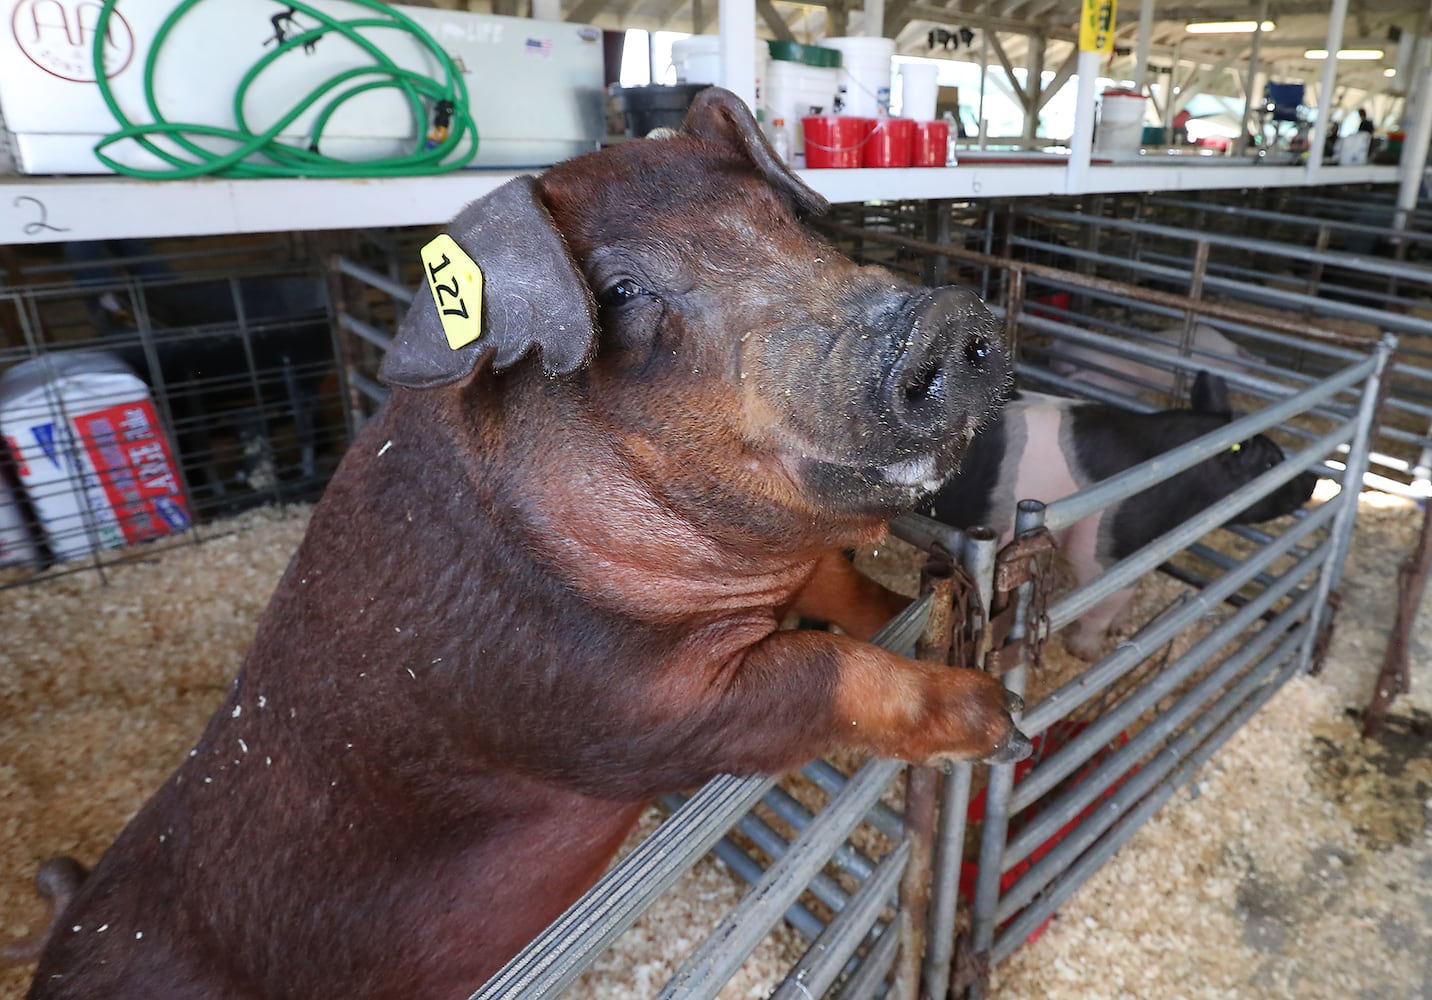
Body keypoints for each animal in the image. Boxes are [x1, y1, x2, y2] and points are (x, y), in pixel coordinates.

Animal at [927, 369, 1317, 659]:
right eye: (1271, 462)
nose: (1313, 479)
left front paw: (1119, 628)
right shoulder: (1104, 549)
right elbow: (1105, 598)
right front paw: (1086, 652)